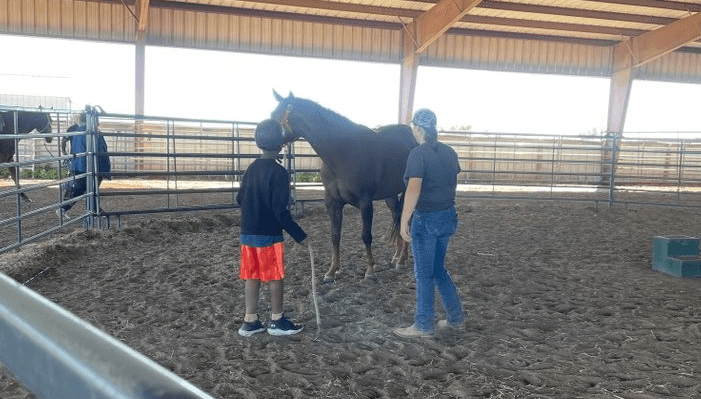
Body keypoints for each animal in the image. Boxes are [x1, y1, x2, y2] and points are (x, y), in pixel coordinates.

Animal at [270, 91, 416, 282]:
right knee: (396, 219)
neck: (342, 153)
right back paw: (396, 257)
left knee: (406, 222)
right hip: (390, 195)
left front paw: (370, 270)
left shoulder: (365, 203)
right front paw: (332, 271)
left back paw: (402, 260)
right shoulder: (333, 203)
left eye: (277, 116)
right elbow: (335, 236)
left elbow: (366, 235)